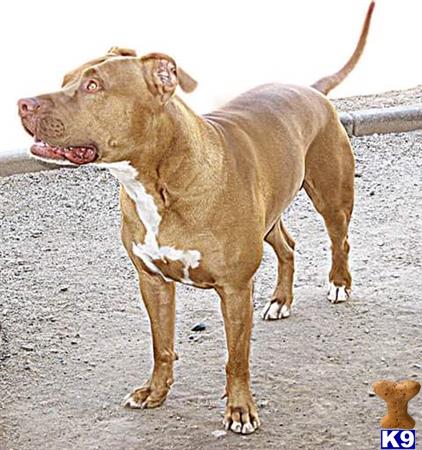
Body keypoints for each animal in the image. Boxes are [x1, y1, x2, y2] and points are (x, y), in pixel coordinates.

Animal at [18, 1, 376, 434]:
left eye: (93, 86)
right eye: (65, 79)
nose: (23, 103)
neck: (159, 181)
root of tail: (310, 88)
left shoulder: (235, 289)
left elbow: (236, 359)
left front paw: (240, 410)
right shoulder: (152, 281)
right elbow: (161, 346)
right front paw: (154, 392)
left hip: (330, 195)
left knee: (340, 239)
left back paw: (339, 284)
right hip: (270, 214)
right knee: (287, 247)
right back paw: (280, 300)